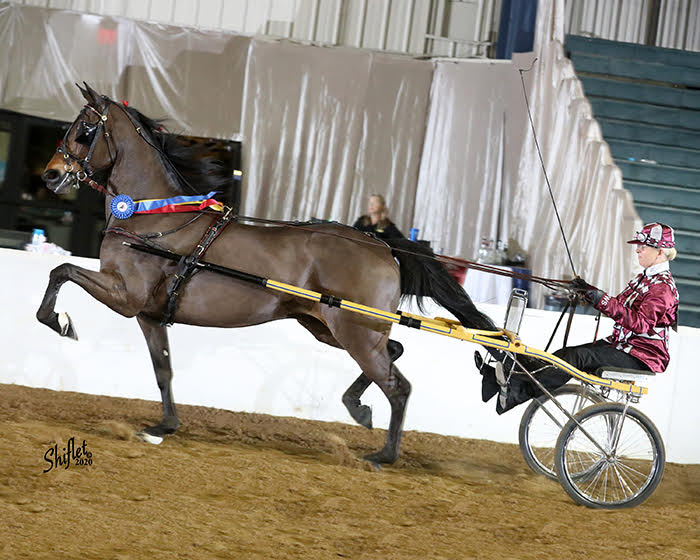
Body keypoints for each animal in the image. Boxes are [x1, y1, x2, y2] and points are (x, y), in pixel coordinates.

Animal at [38, 83, 499, 466]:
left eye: (84, 131)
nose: (51, 174)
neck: (152, 217)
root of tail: (383, 245)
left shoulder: (125, 296)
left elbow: (61, 270)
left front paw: (61, 323)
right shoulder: (149, 314)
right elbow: (163, 370)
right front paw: (164, 425)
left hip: (355, 331)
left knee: (397, 385)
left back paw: (384, 454)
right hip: (329, 326)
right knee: (394, 354)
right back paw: (358, 408)